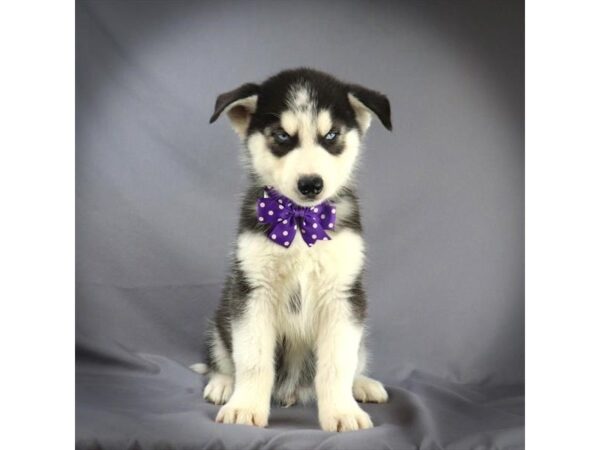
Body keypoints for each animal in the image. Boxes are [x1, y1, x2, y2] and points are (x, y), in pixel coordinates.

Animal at [195, 68, 394, 430]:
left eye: (331, 135)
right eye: (282, 136)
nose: (311, 184)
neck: (300, 222)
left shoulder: (343, 295)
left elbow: (338, 363)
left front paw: (342, 412)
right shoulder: (252, 292)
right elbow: (253, 359)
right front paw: (245, 407)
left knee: (355, 360)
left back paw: (362, 385)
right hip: (221, 318)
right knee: (223, 357)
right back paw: (223, 384)